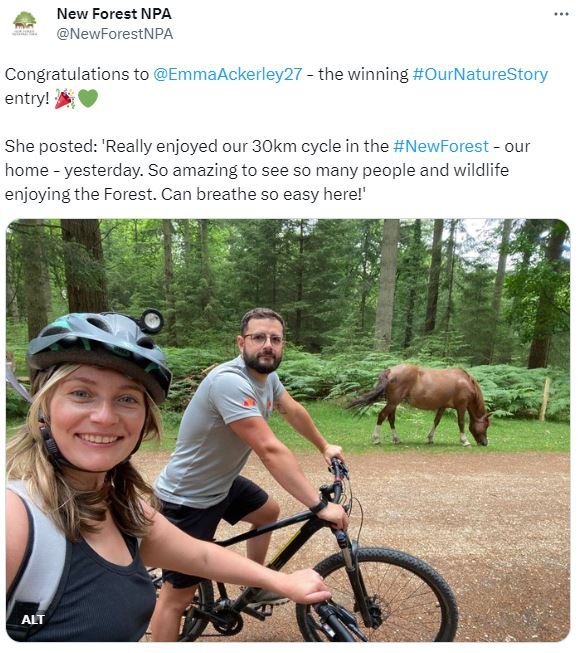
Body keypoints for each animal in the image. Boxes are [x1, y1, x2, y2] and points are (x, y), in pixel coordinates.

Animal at [346, 364, 492, 446]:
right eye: (486, 425)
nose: (485, 443)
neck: (465, 382)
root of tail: (390, 371)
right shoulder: (461, 406)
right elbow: (461, 423)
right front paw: (464, 441)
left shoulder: (442, 406)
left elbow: (436, 421)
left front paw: (430, 439)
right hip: (393, 402)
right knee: (382, 416)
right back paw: (376, 439)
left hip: (393, 403)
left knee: (390, 419)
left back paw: (396, 439)